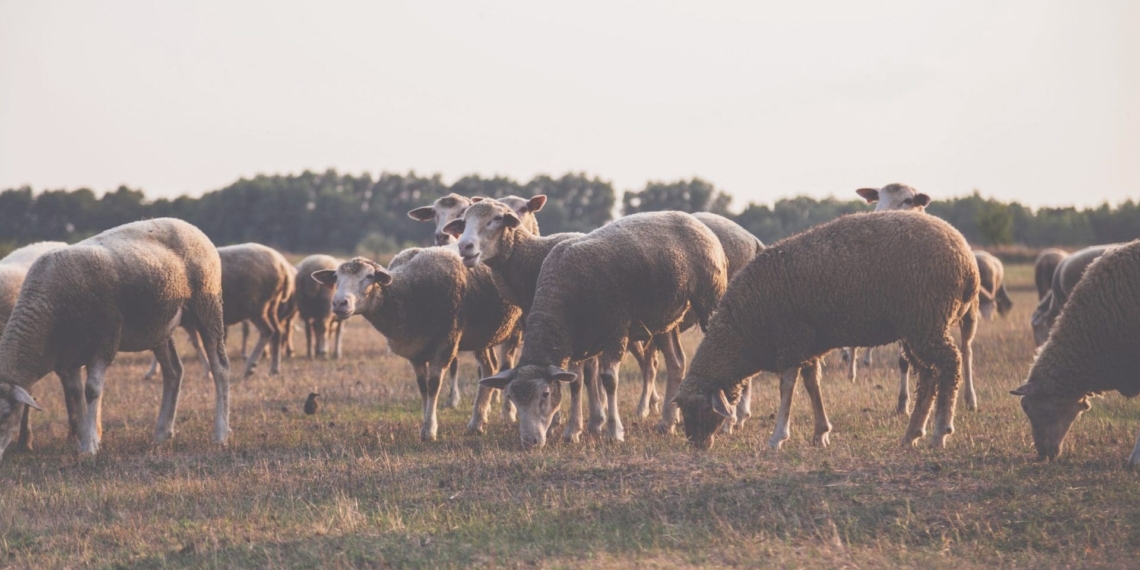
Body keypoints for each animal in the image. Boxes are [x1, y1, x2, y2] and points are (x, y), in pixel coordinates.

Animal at [0, 218, 232, 460]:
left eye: (5, 415)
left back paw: (220, 435)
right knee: (174, 371)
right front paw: (83, 440)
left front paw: (91, 445)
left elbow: (91, 390)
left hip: (207, 302)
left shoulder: (106, 337)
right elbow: (76, 393)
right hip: (160, 326)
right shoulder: (70, 354)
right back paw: (161, 433)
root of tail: (189, 226)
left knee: (220, 367)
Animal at [312, 249, 521, 441]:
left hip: (515, 326)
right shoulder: (415, 350)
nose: (339, 303)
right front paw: (425, 423)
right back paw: (477, 422)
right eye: (336, 278)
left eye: (369, 276)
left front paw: (430, 430)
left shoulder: (446, 342)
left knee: (505, 366)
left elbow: (433, 385)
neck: (408, 293)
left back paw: (508, 414)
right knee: (489, 368)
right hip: (485, 335)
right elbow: (423, 387)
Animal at [476, 211, 728, 448]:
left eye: (545, 394)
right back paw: (667, 422)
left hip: (709, 297)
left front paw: (614, 432)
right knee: (676, 362)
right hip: (666, 318)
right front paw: (573, 432)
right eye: (512, 397)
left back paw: (728, 423)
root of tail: (695, 220)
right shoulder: (577, 341)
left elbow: (608, 380)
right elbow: (575, 382)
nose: (529, 442)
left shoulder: (616, 331)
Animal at [673, 211, 979, 451]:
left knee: (950, 365)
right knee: (927, 376)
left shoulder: (791, 342)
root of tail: (968, 262)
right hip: (917, 328)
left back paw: (940, 432)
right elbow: (812, 385)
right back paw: (911, 434)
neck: (744, 330)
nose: (696, 445)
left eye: (699, 408)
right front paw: (820, 433)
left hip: (927, 321)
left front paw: (777, 437)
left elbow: (787, 388)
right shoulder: (807, 345)